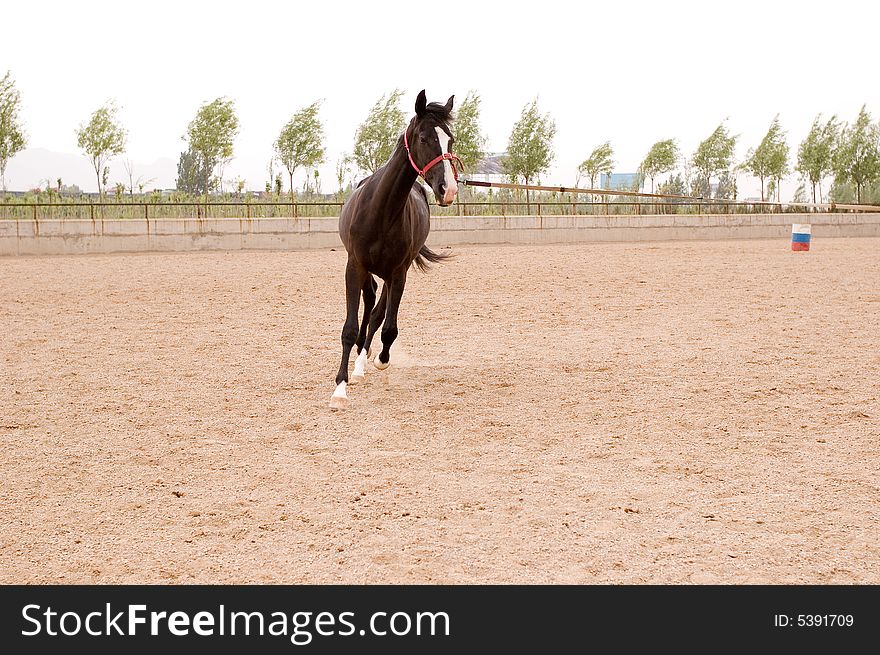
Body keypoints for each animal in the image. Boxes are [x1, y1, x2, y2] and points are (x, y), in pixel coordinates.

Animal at [332, 89, 464, 408]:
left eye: (450, 139)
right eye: (425, 138)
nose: (448, 189)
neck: (381, 211)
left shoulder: (399, 273)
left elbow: (388, 326)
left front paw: (380, 359)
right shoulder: (354, 266)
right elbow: (349, 328)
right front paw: (339, 388)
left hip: (390, 276)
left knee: (378, 313)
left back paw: (364, 360)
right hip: (368, 271)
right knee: (369, 300)